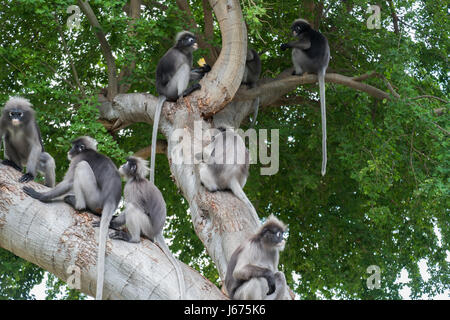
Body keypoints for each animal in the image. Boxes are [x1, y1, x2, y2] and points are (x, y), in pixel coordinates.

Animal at [22, 136, 121, 300]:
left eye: (74, 146)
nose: (69, 151)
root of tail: (111, 201)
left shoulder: (79, 158)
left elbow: (69, 181)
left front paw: (41, 196)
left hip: (94, 198)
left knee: (82, 167)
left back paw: (78, 205)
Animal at [151, 31, 211, 184]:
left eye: (193, 39)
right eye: (189, 40)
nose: (194, 41)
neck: (183, 51)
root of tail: (162, 93)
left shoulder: (189, 56)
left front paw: (205, 69)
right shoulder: (175, 56)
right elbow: (173, 72)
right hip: (170, 89)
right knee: (183, 69)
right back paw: (183, 93)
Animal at [282, 18, 330, 176]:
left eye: (297, 28)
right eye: (293, 28)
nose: (294, 31)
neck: (307, 30)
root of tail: (321, 67)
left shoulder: (305, 36)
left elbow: (305, 45)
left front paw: (286, 44)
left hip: (307, 63)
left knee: (297, 50)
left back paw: (298, 72)